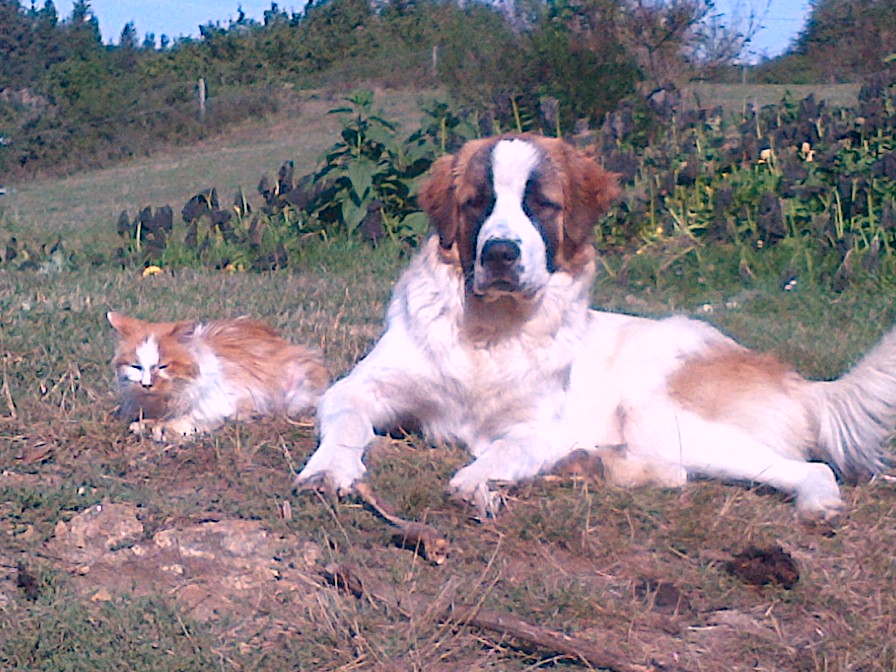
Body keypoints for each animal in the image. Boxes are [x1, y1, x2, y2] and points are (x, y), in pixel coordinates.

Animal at [106, 314, 328, 444]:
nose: (146, 384)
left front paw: (161, 430)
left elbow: (189, 420)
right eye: (136, 367)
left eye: (163, 367)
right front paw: (144, 426)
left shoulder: (220, 403)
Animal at [296, 133, 896, 520]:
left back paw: (818, 503)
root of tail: (799, 381)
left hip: (662, 417)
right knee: (679, 473)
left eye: (540, 205)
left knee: (810, 469)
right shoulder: (358, 388)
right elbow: (347, 423)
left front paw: (477, 480)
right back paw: (593, 464)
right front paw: (330, 469)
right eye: (477, 203)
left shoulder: (541, 426)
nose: (500, 253)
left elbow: (507, 450)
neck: (490, 331)